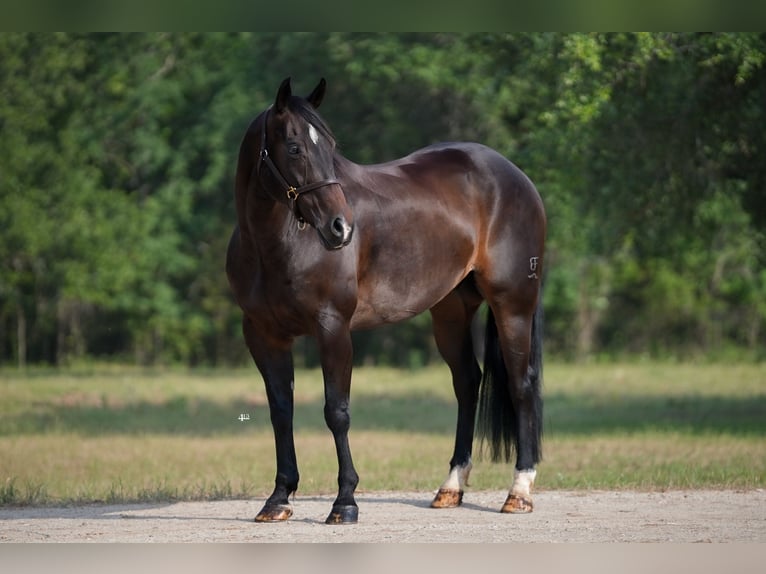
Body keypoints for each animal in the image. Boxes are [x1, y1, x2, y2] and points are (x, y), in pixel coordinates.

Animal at [228, 77, 544, 528]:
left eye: (330, 145)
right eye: (294, 147)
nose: (341, 228)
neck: (277, 245)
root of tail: (514, 176)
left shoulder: (333, 329)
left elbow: (336, 412)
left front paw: (345, 502)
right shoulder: (264, 335)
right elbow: (281, 412)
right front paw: (278, 498)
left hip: (513, 304)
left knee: (522, 384)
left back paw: (519, 491)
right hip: (450, 312)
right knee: (468, 382)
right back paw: (450, 487)